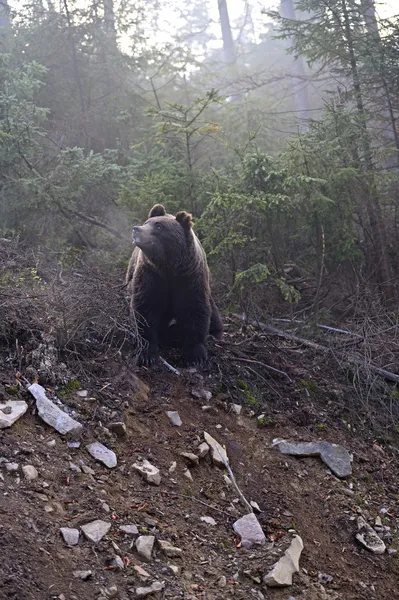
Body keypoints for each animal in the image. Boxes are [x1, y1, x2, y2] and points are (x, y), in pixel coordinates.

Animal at [126, 203, 223, 366]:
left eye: (158, 226)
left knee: (213, 314)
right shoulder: (151, 275)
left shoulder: (189, 278)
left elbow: (195, 308)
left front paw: (195, 355)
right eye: (147, 222)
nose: (136, 229)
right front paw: (147, 354)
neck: (169, 267)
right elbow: (146, 307)